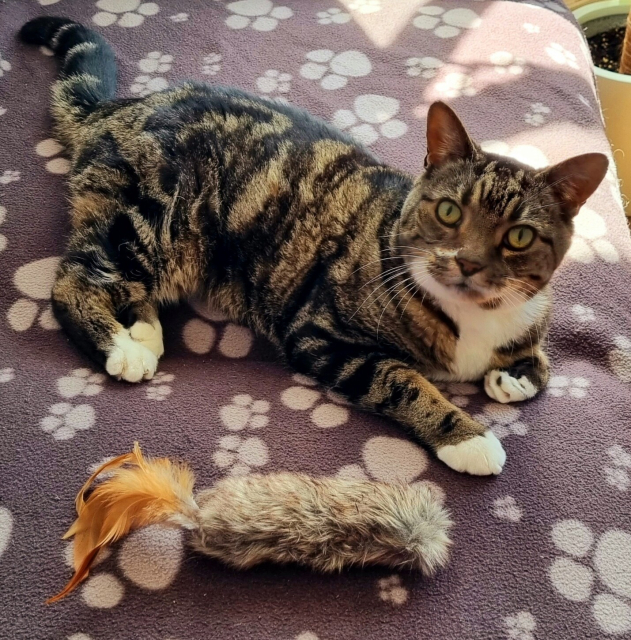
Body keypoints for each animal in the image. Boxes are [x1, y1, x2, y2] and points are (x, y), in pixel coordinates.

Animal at [22, 16, 608, 476]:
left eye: (519, 236)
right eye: (449, 212)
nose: (466, 262)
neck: (475, 318)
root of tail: (123, 105)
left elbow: (543, 365)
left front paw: (514, 378)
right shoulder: (320, 332)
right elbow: (401, 380)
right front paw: (467, 436)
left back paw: (142, 330)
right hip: (153, 220)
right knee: (75, 277)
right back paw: (120, 347)